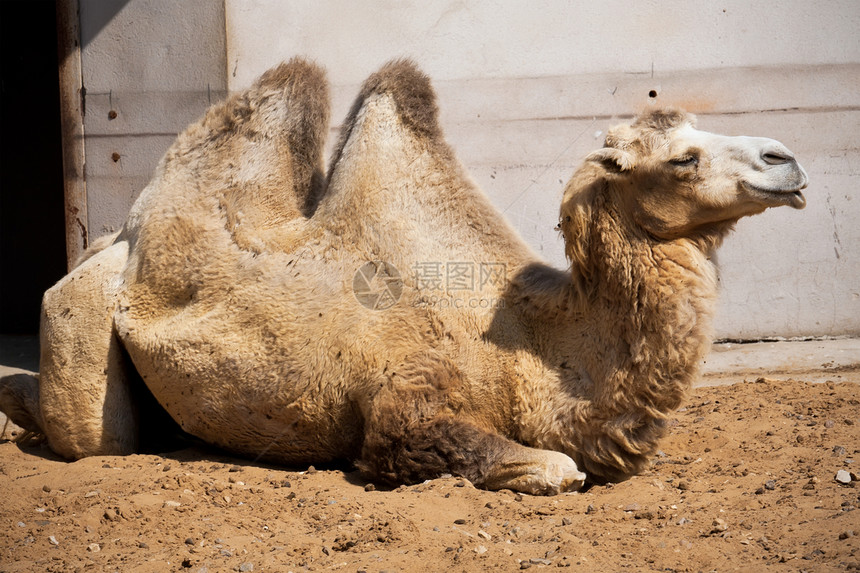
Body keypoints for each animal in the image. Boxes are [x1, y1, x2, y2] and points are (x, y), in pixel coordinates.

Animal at [0, 59, 808, 496]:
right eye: (682, 158)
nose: (787, 159)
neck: (532, 344)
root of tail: (116, 234)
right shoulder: (403, 402)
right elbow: (551, 465)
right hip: (81, 319)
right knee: (92, 434)